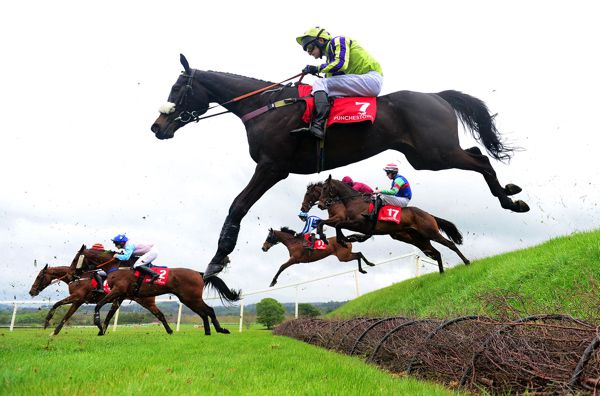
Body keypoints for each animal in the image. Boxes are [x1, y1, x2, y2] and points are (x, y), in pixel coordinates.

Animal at [29, 264, 173, 336]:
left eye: (39, 276)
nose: (32, 291)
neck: (77, 278)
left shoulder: (77, 297)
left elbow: (56, 304)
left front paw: (47, 322)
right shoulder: (78, 301)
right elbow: (67, 315)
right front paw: (54, 332)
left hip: (144, 301)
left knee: (159, 314)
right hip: (122, 300)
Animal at [71, 246, 244, 336]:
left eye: (75, 259)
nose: (73, 274)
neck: (118, 266)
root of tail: (199, 273)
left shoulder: (118, 291)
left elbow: (99, 305)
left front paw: (97, 324)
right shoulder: (120, 295)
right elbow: (109, 313)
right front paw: (102, 330)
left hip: (190, 298)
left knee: (209, 310)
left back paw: (220, 329)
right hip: (188, 299)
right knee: (204, 312)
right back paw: (208, 331)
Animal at [316, 176, 472, 272]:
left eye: (325, 189)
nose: (321, 205)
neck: (355, 201)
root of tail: (428, 214)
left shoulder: (359, 223)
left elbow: (338, 225)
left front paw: (341, 240)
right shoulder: (352, 223)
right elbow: (334, 225)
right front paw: (342, 238)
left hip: (430, 232)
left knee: (450, 245)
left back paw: (466, 262)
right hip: (418, 239)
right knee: (435, 252)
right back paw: (441, 273)